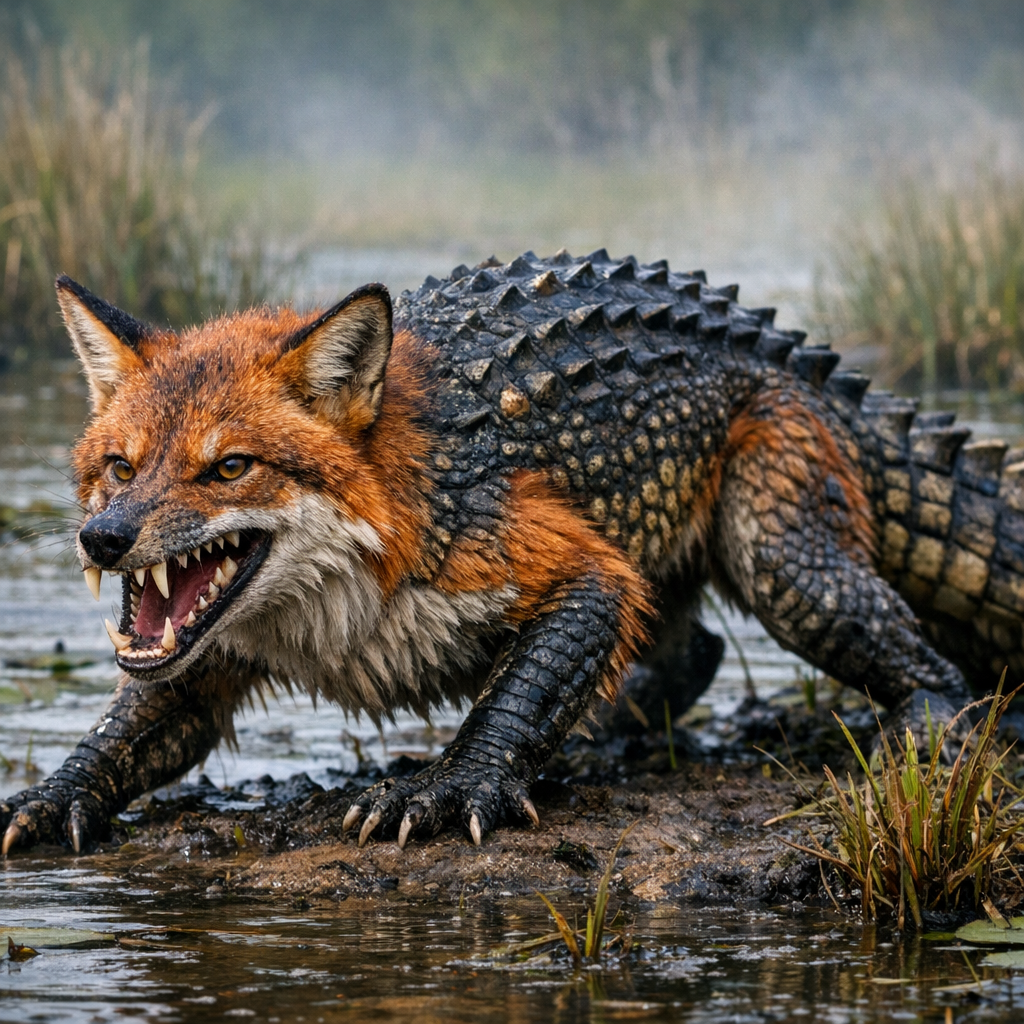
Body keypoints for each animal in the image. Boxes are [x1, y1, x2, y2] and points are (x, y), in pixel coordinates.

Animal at [3, 247, 1013, 856]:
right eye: (120, 464)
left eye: (229, 467)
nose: (104, 537)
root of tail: (791, 346)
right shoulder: (203, 652)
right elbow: (129, 726)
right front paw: (49, 795)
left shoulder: (559, 557)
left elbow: (518, 690)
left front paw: (448, 787)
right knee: (693, 649)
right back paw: (614, 729)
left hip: (785, 560)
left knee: (934, 671)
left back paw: (920, 736)